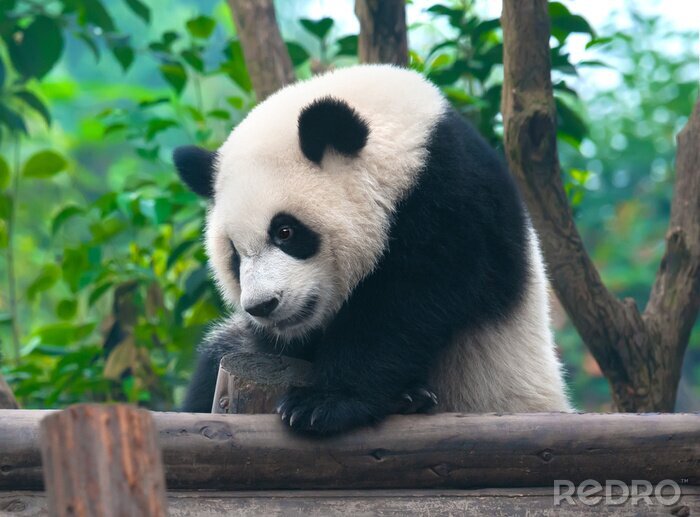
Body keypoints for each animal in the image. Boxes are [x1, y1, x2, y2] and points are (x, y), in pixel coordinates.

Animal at [174, 64, 571, 434]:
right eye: (234, 253)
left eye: (285, 232)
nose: (262, 305)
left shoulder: (453, 206)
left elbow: (403, 306)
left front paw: (320, 404)